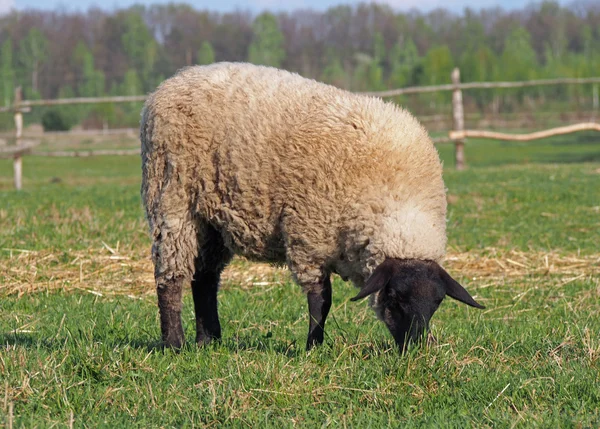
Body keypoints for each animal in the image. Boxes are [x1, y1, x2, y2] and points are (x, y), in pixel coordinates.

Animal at [139, 63, 482, 352]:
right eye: (394, 297)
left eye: (437, 303)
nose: (413, 349)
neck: (395, 200)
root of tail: (170, 83)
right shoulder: (309, 235)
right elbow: (321, 300)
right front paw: (313, 347)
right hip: (173, 200)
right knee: (171, 277)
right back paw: (175, 343)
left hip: (211, 220)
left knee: (205, 278)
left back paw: (208, 339)